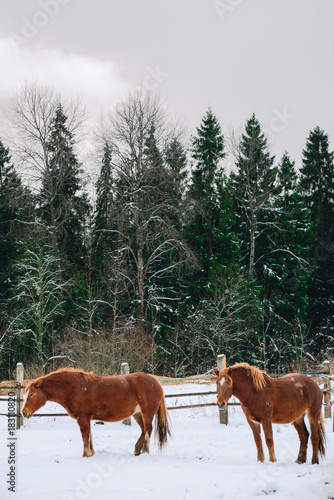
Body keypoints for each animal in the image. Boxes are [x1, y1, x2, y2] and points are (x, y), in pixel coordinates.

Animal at [22, 368, 171, 458]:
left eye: (32, 394)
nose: (24, 412)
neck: (75, 388)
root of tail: (156, 382)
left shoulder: (82, 418)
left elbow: (85, 436)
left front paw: (86, 454)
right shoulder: (86, 418)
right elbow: (89, 436)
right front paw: (91, 453)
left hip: (147, 413)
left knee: (148, 430)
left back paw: (145, 451)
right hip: (137, 414)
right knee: (144, 430)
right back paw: (137, 449)